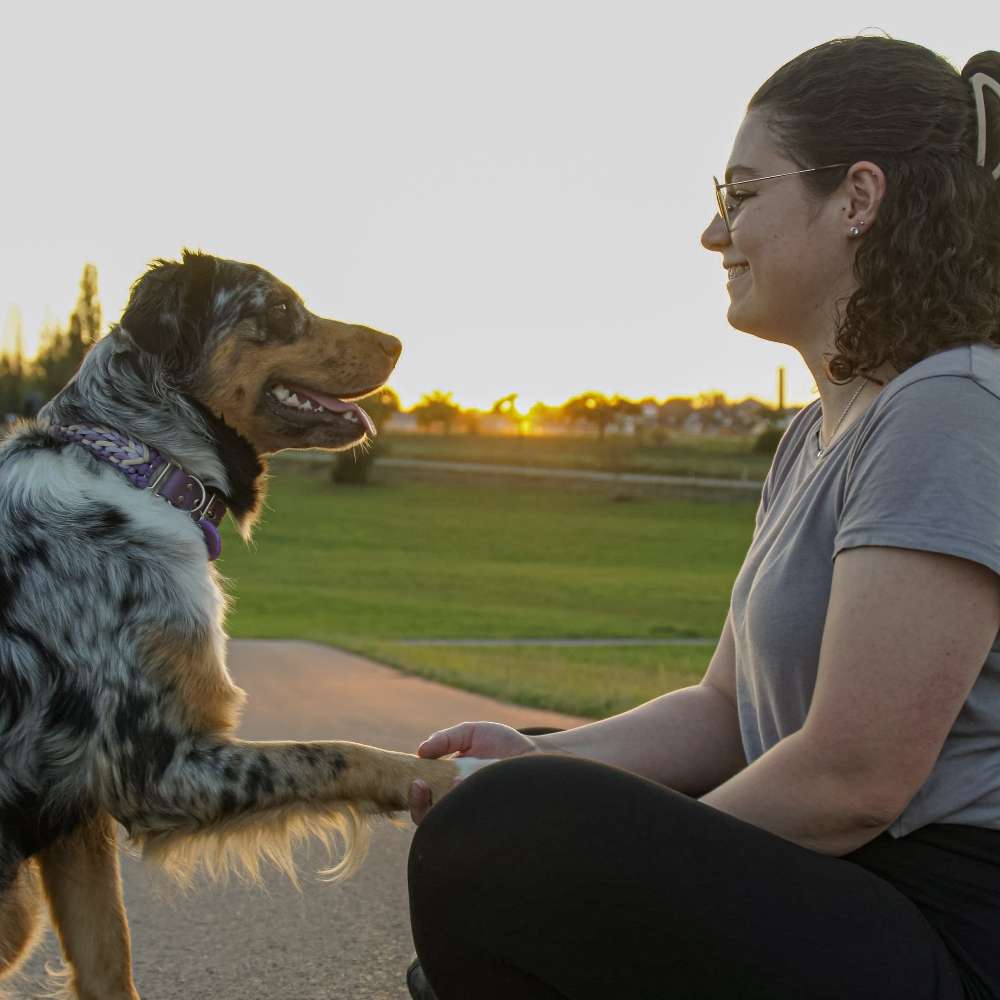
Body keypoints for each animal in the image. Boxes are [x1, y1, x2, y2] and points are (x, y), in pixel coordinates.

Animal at [0, 252, 470, 1000]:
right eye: (277, 309)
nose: (398, 343)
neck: (142, 466)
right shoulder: (155, 767)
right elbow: (335, 751)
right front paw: (449, 776)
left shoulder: (75, 806)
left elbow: (108, 960)